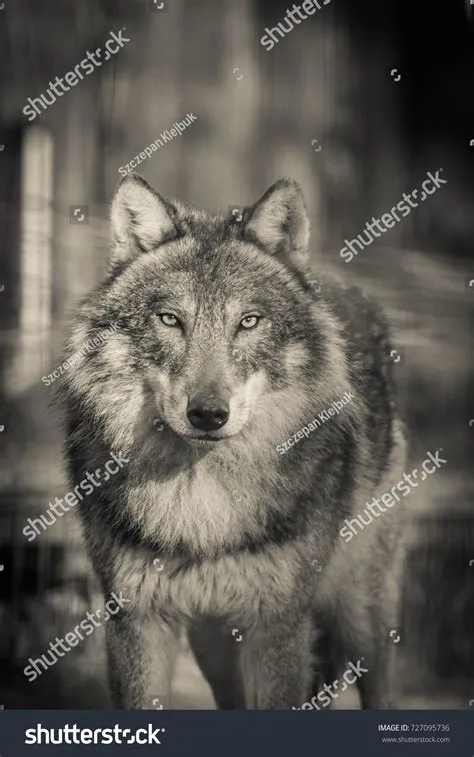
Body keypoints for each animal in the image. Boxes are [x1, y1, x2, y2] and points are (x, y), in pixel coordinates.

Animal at [60, 174, 407, 709]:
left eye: (248, 321)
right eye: (169, 319)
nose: (207, 414)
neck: (201, 505)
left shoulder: (278, 625)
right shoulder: (137, 619)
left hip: (359, 614)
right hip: (215, 643)